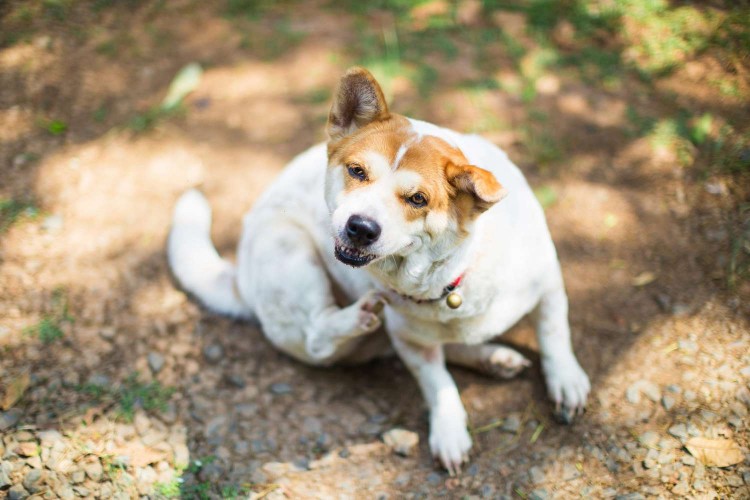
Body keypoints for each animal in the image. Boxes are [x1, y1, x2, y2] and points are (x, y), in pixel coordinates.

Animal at [167, 66, 592, 472]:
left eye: (418, 199)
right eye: (357, 171)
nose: (360, 227)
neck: (452, 278)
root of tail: (239, 278)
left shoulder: (549, 284)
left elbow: (555, 335)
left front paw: (566, 380)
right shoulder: (409, 341)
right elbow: (438, 383)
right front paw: (450, 432)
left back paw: (493, 359)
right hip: (287, 248)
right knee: (318, 335)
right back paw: (358, 317)